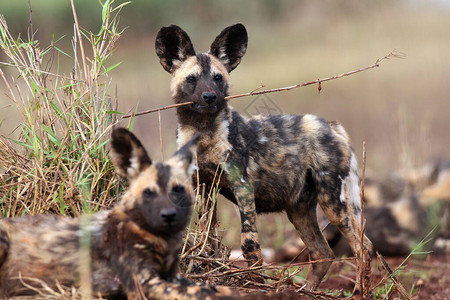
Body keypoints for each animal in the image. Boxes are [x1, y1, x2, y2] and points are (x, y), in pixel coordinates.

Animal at [0, 127, 232, 300]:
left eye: (178, 190)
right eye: (148, 193)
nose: (168, 215)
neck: (160, 240)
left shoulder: (173, 276)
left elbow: (210, 287)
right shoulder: (144, 283)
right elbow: (202, 293)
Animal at [156, 24, 374, 292]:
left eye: (218, 78)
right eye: (192, 78)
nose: (209, 97)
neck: (204, 134)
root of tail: (331, 125)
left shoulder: (243, 188)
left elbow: (249, 243)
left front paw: (255, 282)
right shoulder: (205, 189)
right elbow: (207, 239)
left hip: (333, 201)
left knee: (364, 247)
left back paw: (358, 293)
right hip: (299, 210)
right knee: (323, 253)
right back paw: (304, 290)